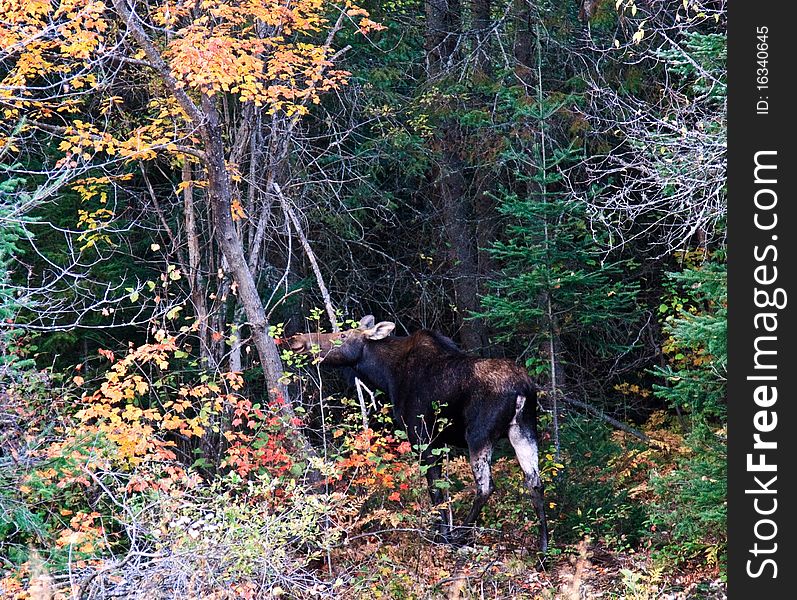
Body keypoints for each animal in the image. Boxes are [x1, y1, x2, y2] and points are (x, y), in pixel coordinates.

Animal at [290, 316, 552, 552]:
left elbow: (434, 489)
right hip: (524, 429)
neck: (386, 375)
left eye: (343, 335)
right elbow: (443, 489)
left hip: (479, 434)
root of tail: (523, 388)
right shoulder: (439, 441)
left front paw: (442, 535)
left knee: (486, 486)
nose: (298, 341)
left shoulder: (421, 434)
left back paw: (460, 535)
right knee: (535, 482)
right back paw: (543, 549)